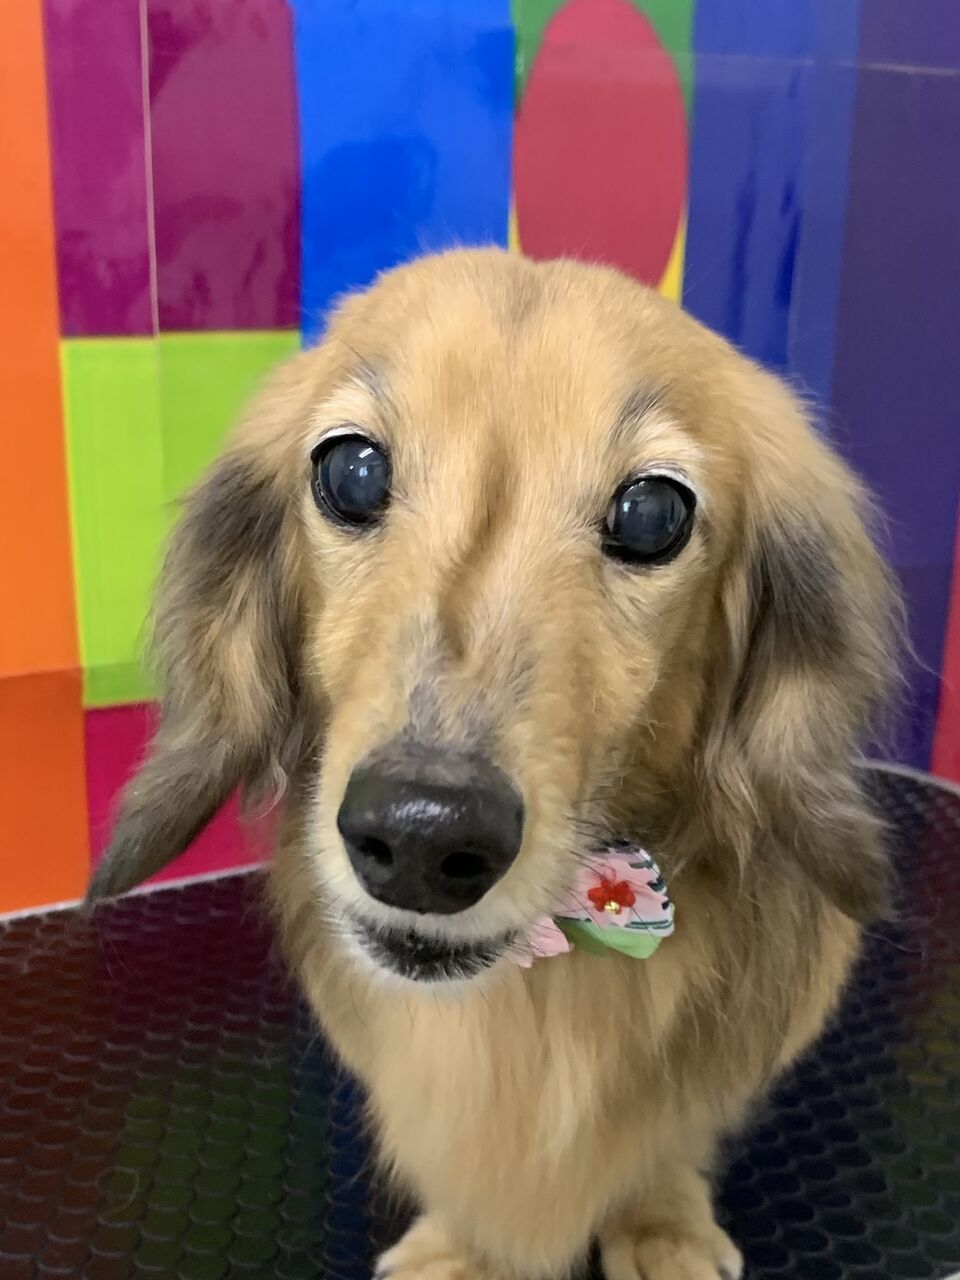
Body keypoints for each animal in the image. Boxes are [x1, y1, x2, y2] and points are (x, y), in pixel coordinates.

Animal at [88, 249, 899, 1280]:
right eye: (352, 471)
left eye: (653, 511)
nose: (422, 836)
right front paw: (461, 1243)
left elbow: (674, 1135)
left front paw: (663, 1218)